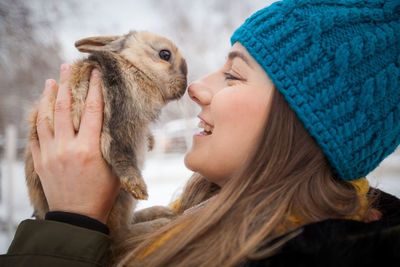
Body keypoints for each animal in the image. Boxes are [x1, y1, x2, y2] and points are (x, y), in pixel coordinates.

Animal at [24, 30, 188, 264]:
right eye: (165, 54)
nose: (184, 87)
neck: (135, 69)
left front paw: (151, 142)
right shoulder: (118, 119)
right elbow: (120, 154)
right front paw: (139, 188)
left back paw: (160, 213)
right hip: (121, 202)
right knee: (119, 238)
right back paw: (160, 222)